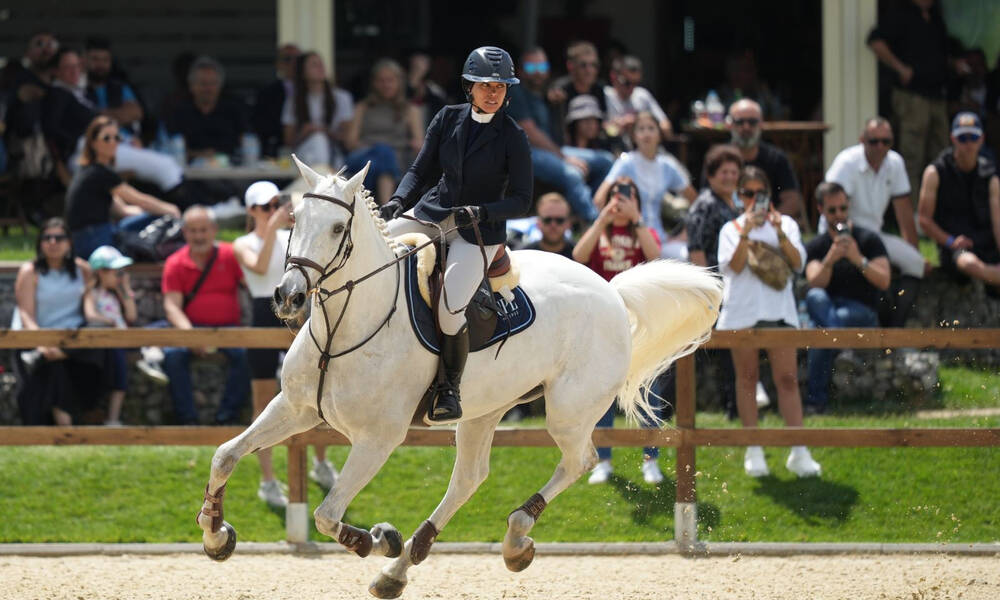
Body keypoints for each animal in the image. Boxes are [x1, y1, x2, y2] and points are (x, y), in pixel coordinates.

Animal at [195, 157, 724, 596]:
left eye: (338, 227)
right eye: (294, 221)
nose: (287, 296)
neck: (346, 323)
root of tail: (611, 291)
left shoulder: (377, 439)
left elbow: (327, 516)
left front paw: (377, 538)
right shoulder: (295, 408)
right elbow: (224, 456)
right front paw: (217, 535)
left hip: (568, 412)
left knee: (580, 460)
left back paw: (512, 539)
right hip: (484, 411)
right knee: (470, 478)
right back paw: (402, 566)